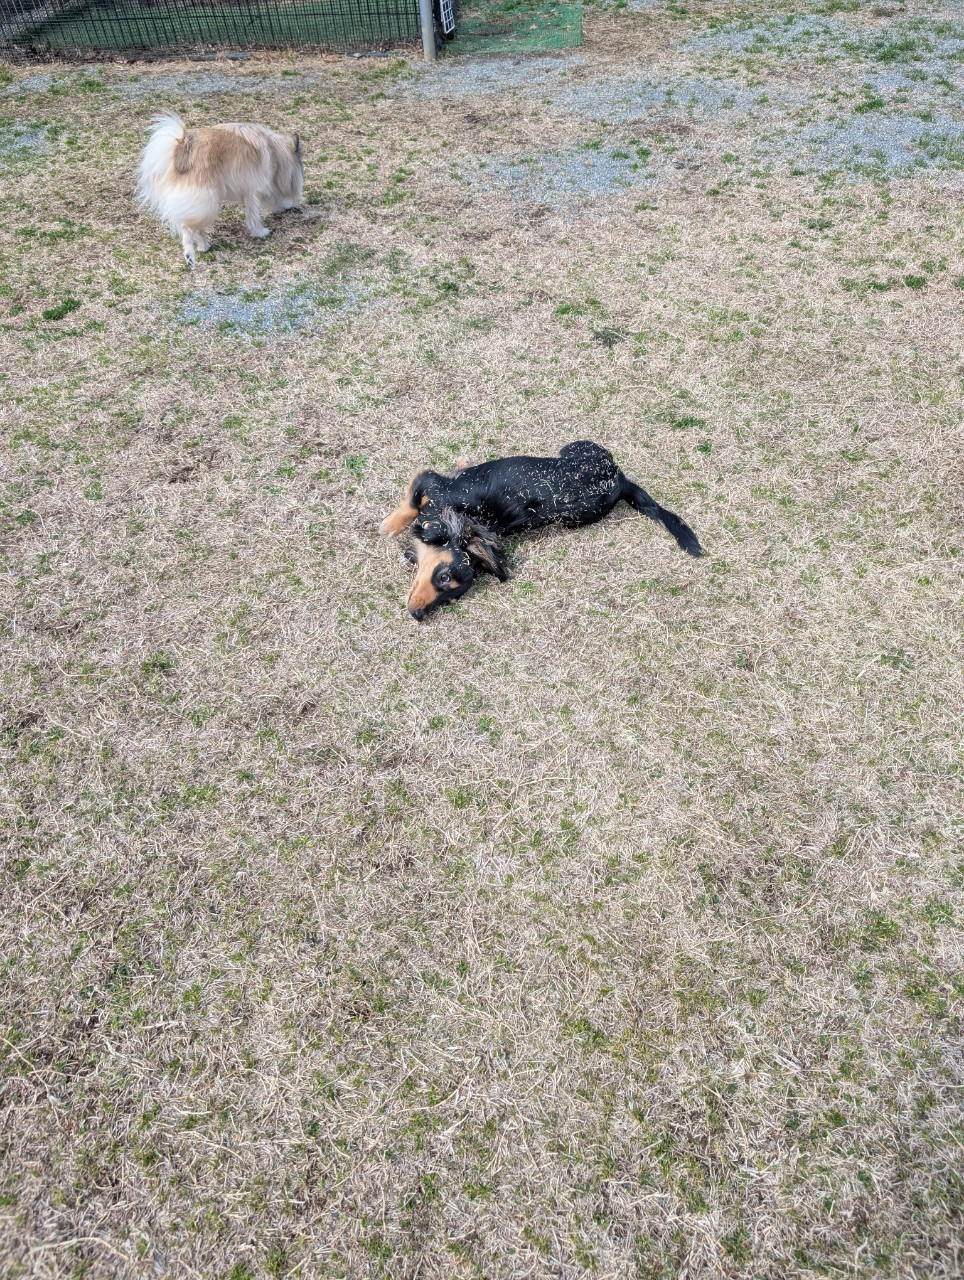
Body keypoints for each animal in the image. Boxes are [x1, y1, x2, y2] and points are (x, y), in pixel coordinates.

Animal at [137, 113, 303, 267]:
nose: (291, 206)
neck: (275, 155)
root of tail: (181, 146)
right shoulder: (253, 193)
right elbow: (254, 217)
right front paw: (260, 232)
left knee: (197, 229)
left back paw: (204, 247)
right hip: (206, 202)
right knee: (188, 228)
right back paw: (190, 255)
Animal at [380, 440, 702, 619]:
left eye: (450, 598)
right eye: (444, 577)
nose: (417, 616)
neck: (464, 518)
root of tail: (621, 481)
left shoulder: (431, 481)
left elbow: (412, 502)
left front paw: (392, 525)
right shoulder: (430, 485)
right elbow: (410, 505)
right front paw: (393, 525)